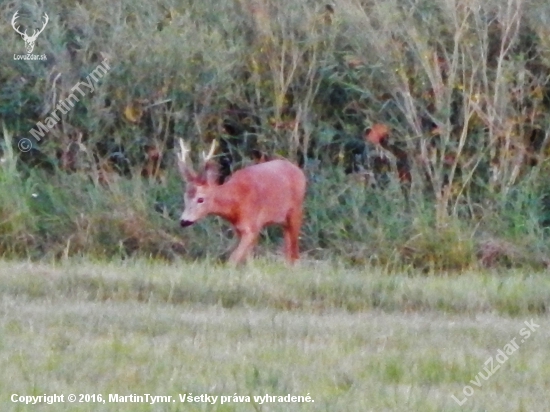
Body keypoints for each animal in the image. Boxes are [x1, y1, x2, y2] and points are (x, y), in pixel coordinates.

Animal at [177, 140, 306, 264]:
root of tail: (300, 172)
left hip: (296, 211)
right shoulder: (238, 229)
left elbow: (233, 259)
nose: (184, 221)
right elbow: (247, 259)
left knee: (295, 253)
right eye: (185, 197)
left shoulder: (252, 227)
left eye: (200, 199)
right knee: (288, 251)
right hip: (284, 222)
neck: (236, 201)